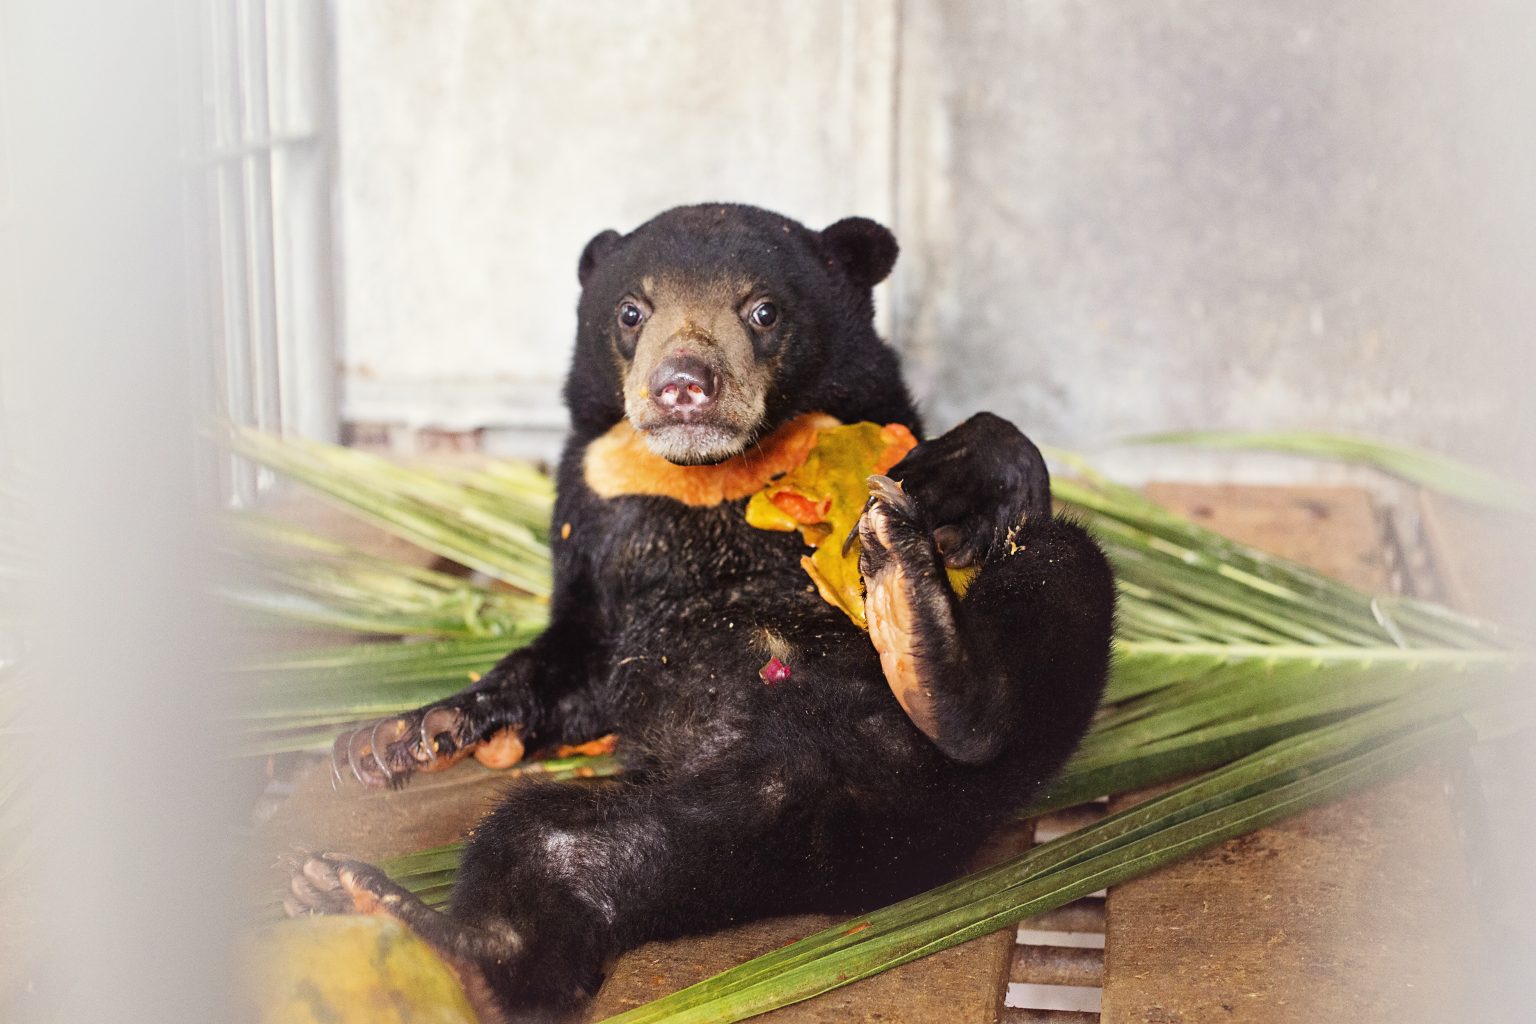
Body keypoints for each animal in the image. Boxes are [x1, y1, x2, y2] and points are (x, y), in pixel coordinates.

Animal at [286, 203, 1116, 1022]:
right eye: (631, 312)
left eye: (763, 310)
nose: (684, 384)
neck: (709, 478)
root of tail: (863, 830)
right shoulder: (589, 519)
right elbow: (571, 664)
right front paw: (394, 738)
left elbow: (979, 456)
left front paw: (958, 473)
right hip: (709, 834)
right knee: (545, 849)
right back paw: (391, 919)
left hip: (992, 772)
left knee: (1063, 571)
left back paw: (924, 639)